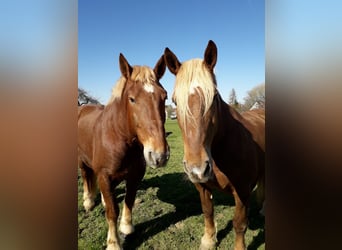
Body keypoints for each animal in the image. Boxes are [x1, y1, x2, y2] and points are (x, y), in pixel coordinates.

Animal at [78, 53, 169, 249]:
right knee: (85, 175)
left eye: (164, 97)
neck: (118, 137)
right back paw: (88, 201)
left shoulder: (134, 176)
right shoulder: (104, 175)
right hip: (81, 160)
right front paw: (113, 243)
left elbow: (129, 200)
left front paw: (126, 227)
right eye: (132, 99)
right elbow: (112, 211)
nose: (159, 155)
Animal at [164, 40, 266, 249]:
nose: (197, 169)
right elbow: (208, 212)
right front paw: (209, 240)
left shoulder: (242, 192)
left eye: (214, 97)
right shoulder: (202, 187)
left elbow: (239, 224)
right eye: (175, 101)